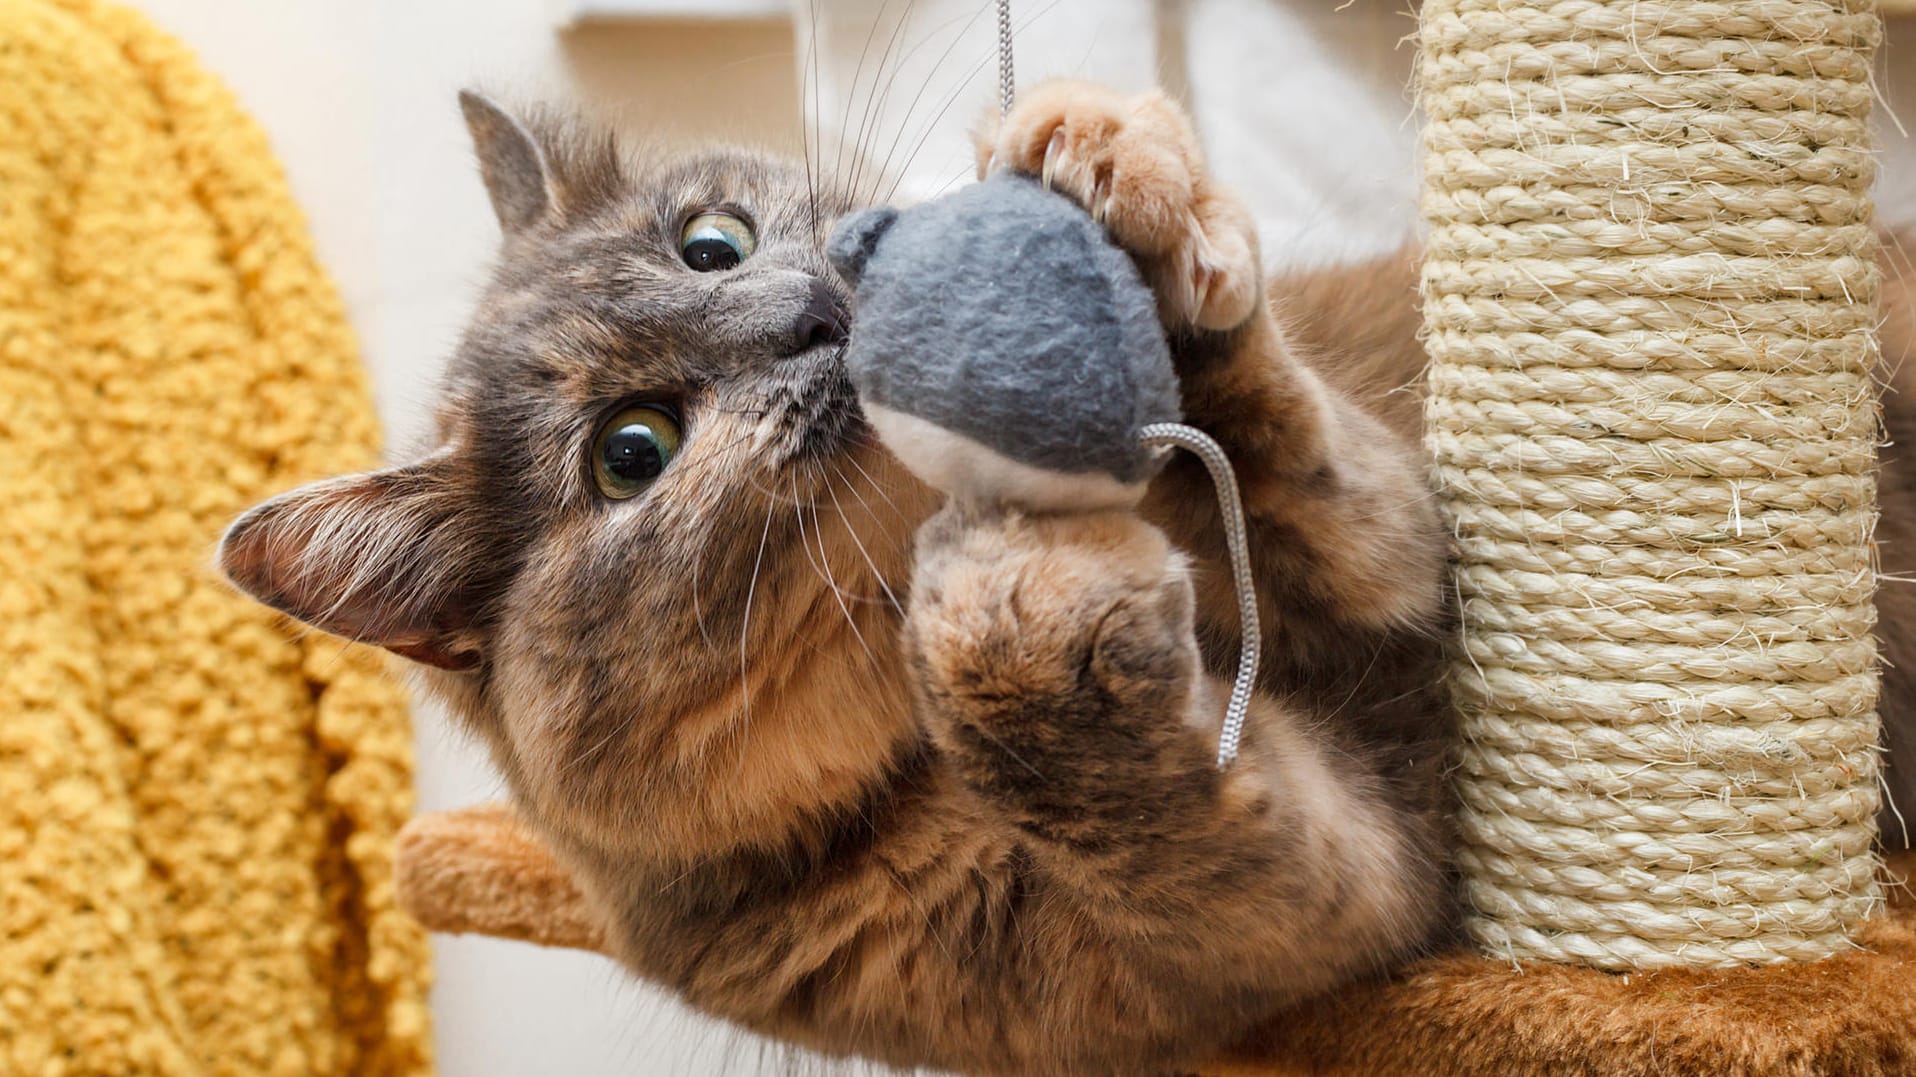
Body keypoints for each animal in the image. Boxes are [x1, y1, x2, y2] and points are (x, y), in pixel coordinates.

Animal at [213, 79, 1916, 1065]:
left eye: (709, 242)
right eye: (630, 452)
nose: (812, 317)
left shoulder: (1406, 544)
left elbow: (1322, 471)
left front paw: (1112, 179)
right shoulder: (1297, 912)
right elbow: (1158, 794)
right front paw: (1018, 621)